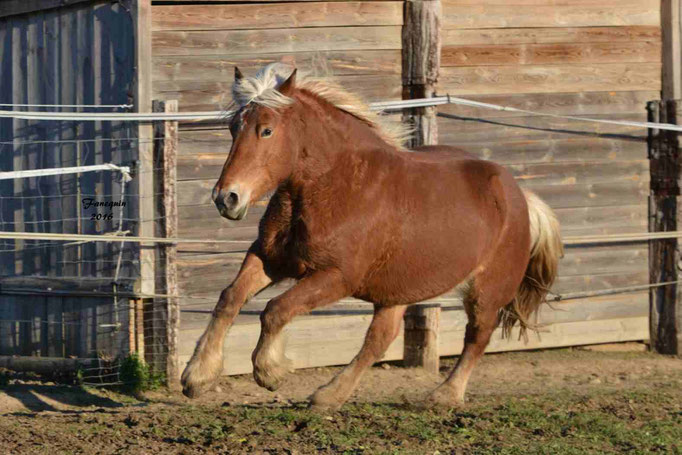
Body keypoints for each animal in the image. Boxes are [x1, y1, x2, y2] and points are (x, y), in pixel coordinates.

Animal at [181, 63, 564, 410]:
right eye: (234, 127)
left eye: (266, 131)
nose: (226, 198)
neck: (340, 186)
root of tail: (520, 196)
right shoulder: (270, 258)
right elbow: (229, 298)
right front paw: (197, 376)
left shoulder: (337, 277)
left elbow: (276, 310)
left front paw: (270, 371)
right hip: (399, 289)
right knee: (379, 340)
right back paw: (329, 396)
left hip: (486, 289)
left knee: (477, 335)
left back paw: (444, 396)